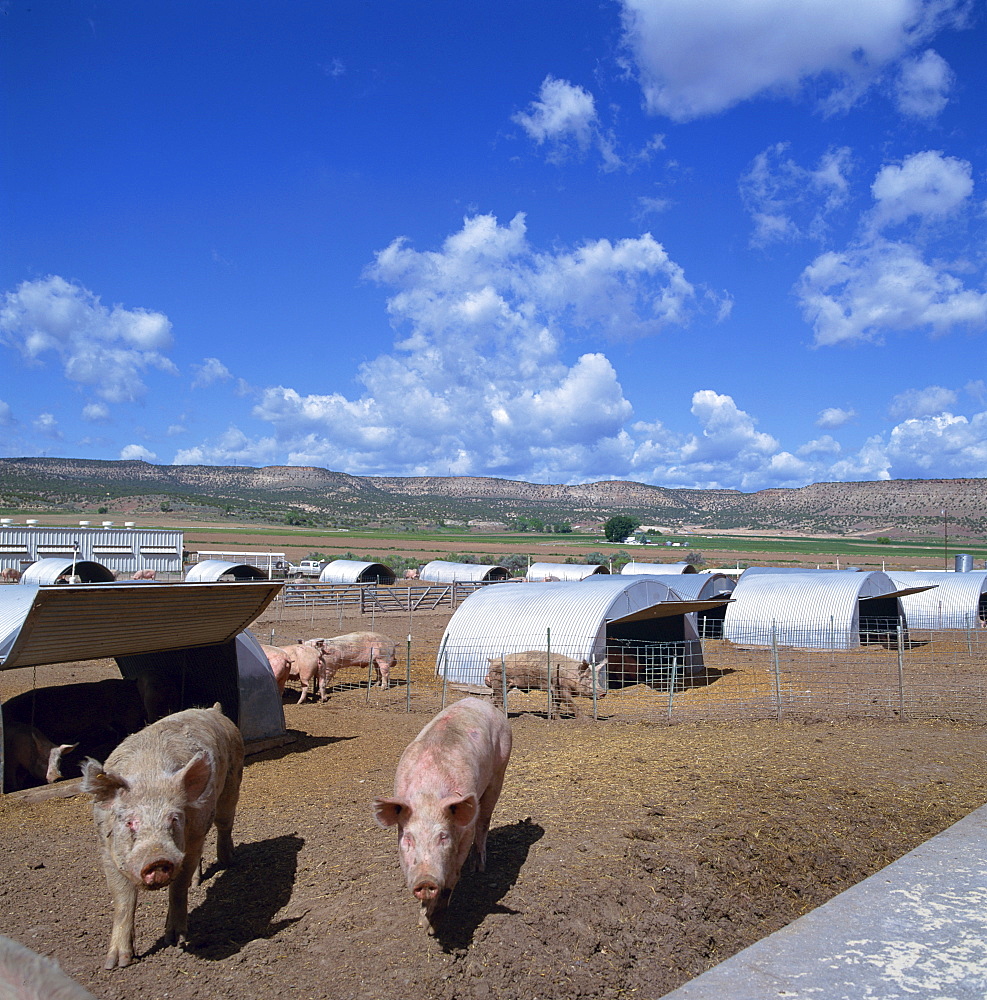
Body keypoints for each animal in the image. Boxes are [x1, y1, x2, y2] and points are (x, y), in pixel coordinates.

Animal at [80, 704, 244, 968]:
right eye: (130, 822)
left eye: (174, 819)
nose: (157, 859)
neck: (149, 775)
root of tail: (213, 710)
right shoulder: (106, 848)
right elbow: (123, 900)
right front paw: (117, 963)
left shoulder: (191, 840)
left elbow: (178, 887)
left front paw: (175, 940)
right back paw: (199, 882)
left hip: (233, 781)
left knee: (224, 824)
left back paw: (229, 861)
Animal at [370, 700, 510, 932]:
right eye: (408, 838)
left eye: (443, 836)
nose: (425, 880)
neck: (428, 795)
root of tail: (481, 702)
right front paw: (422, 923)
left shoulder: (465, 832)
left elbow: (453, 876)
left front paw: (433, 925)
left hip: (499, 772)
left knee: (484, 821)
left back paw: (478, 868)